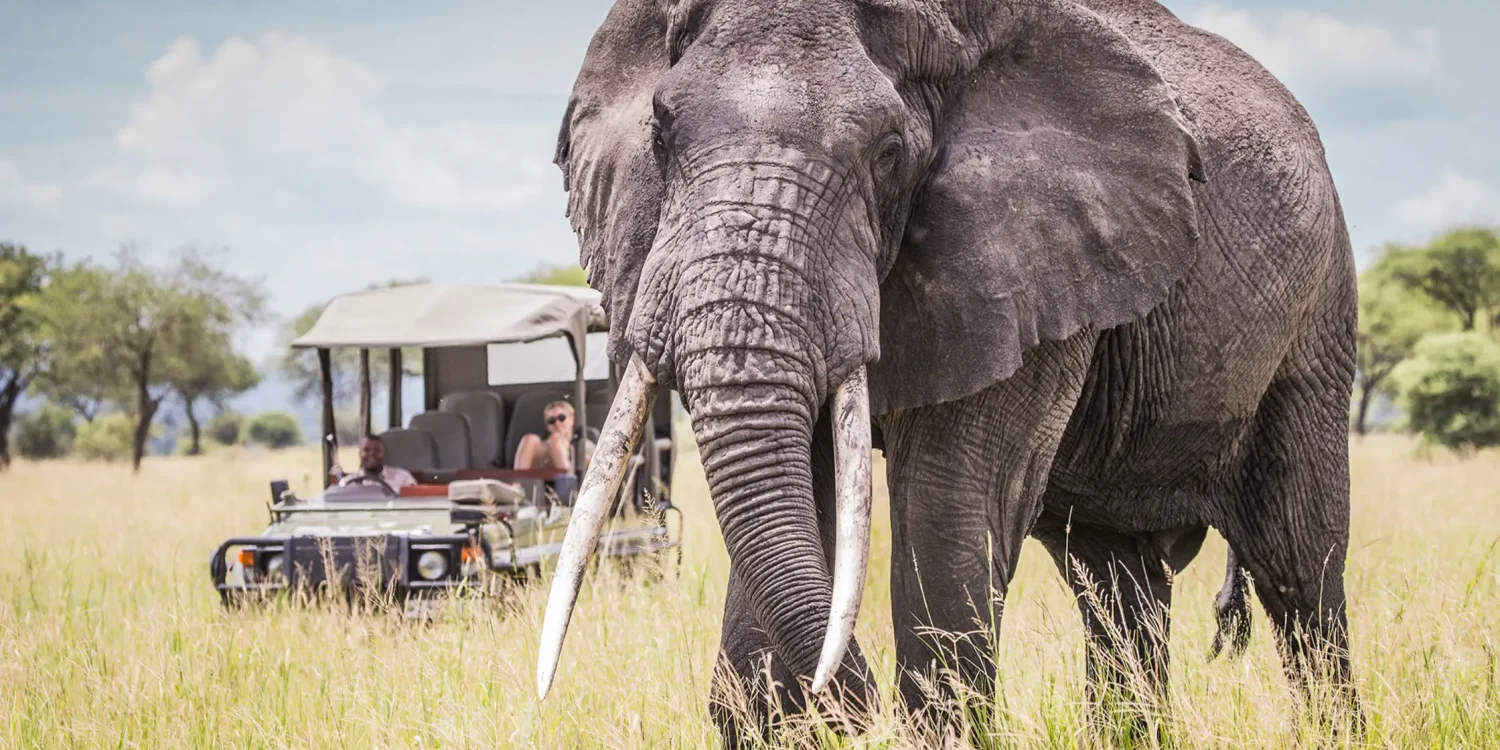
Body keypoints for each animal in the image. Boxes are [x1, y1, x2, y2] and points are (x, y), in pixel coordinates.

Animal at [535, 0, 1359, 743]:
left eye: (888, 154)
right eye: (660, 134)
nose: (852, 705)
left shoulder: (1029, 256)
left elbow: (949, 501)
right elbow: (804, 489)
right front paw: (781, 707)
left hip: (1315, 320)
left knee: (1298, 567)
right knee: (1116, 585)